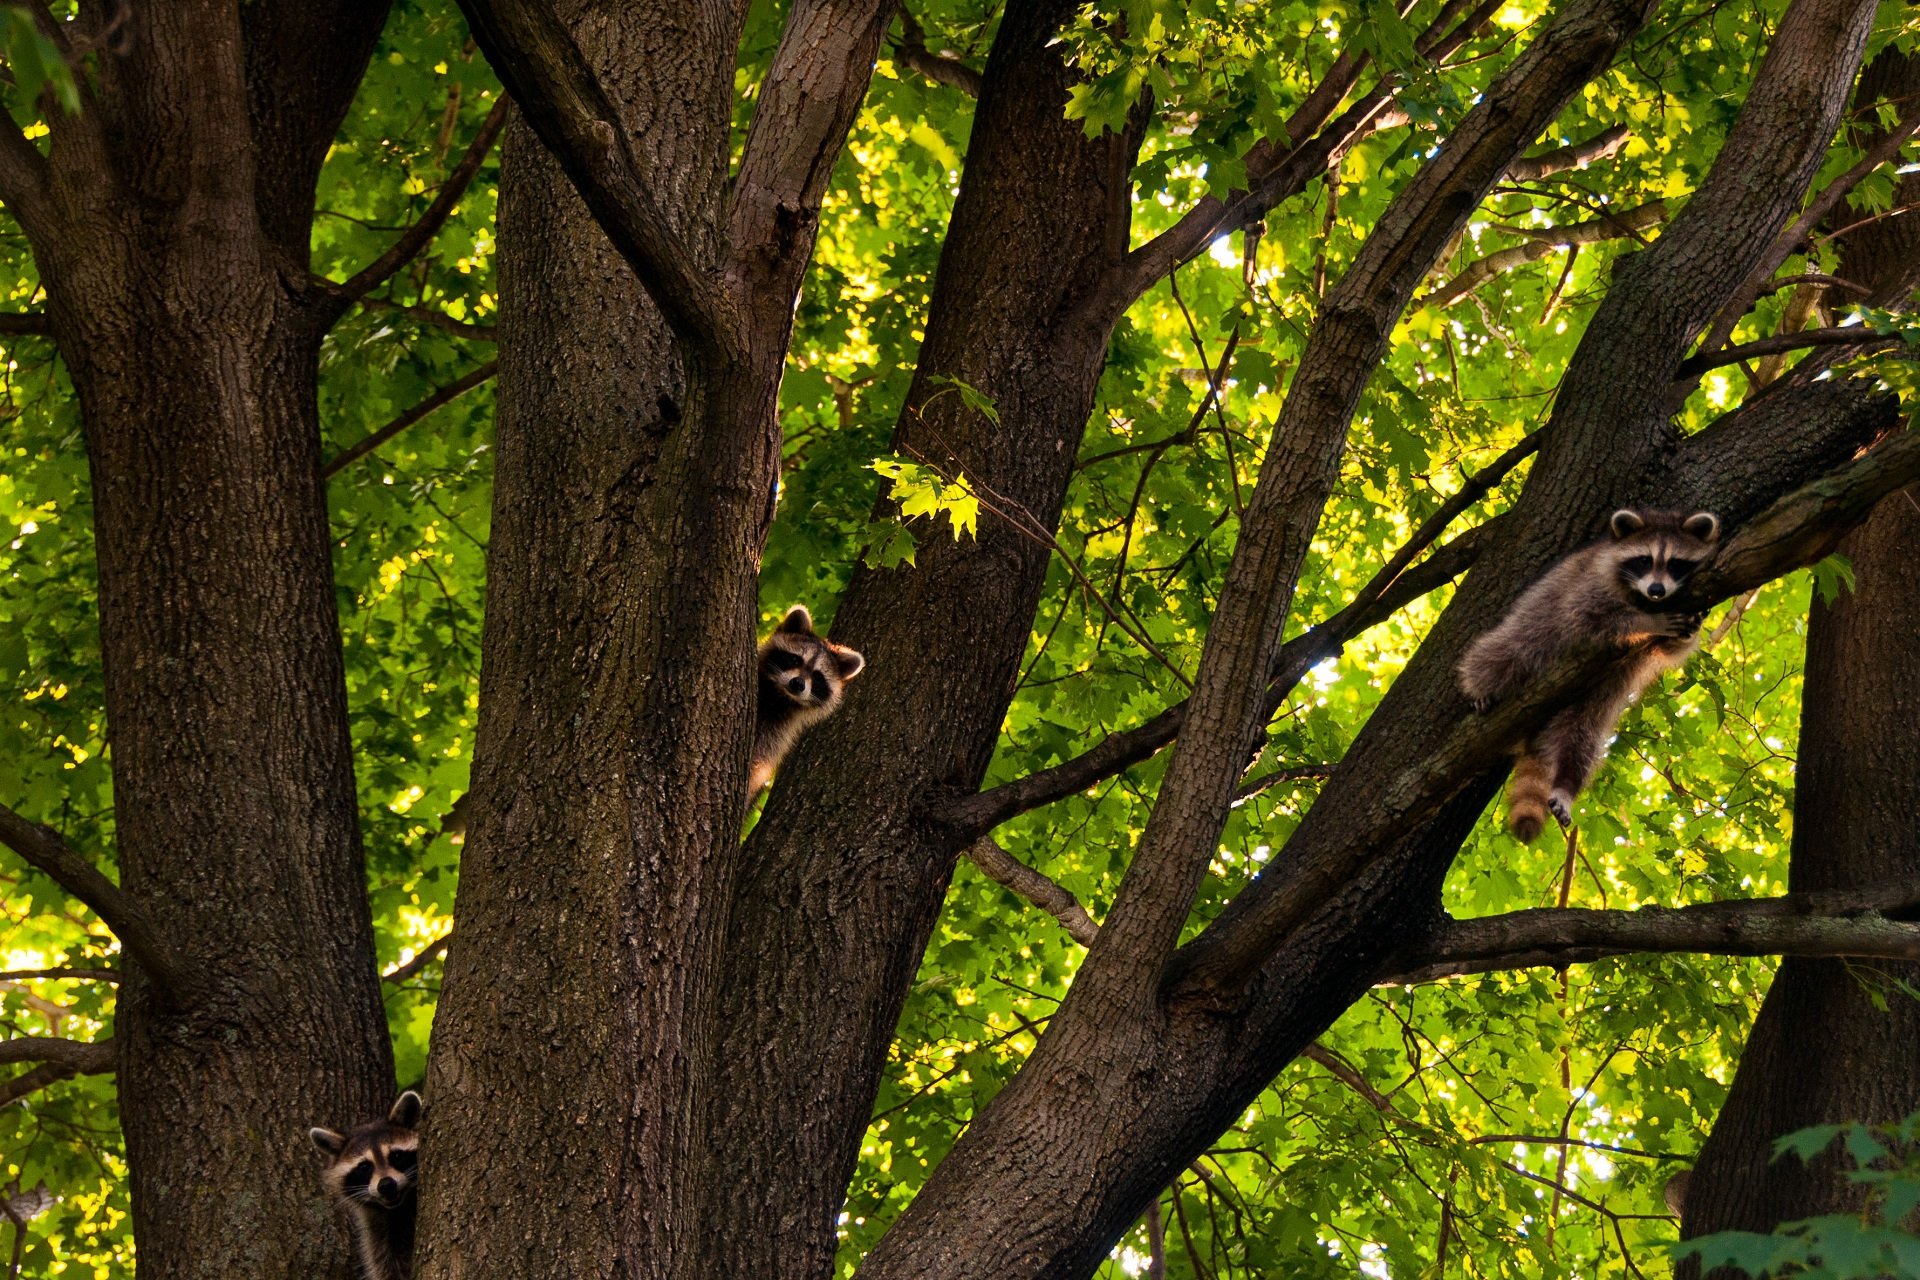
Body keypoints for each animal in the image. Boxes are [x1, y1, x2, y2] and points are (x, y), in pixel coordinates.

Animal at [309, 1090, 422, 1280]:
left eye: (397, 1156)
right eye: (364, 1167)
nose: (386, 1185)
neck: (398, 1209)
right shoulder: (379, 1232)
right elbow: (386, 1266)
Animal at [752, 606, 867, 794]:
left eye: (817, 676)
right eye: (794, 659)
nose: (798, 684)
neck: (778, 697)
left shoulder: (775, 730)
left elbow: (759, 760)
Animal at [1459, 506, 1720, 844]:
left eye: (1675, 563)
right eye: (1644, 560)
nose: (1657, 590)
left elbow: (1672, 648)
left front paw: (1686, 629)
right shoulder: (1591, 582)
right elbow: (1587, 615)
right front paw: (1645, 620)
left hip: (1589, 702)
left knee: (1583, 740)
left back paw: (1566, 783)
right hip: (1533, 624)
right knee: (1507, 648)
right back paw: (1482, 687)